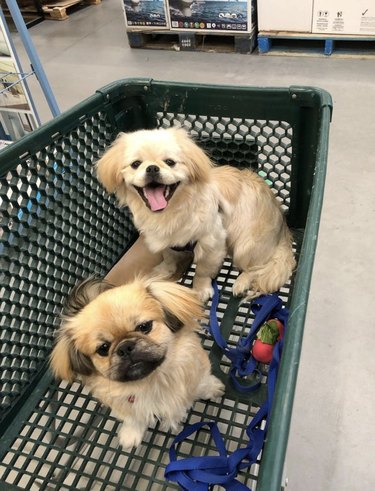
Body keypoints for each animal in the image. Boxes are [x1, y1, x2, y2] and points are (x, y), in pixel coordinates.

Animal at [51, 276, 225, 450]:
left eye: (144, 326)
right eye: (103, 348)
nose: (125, 347)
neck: (152, 381)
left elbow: (202, 383)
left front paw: (212, 388)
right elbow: (134, 418)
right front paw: (130, 434)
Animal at [97, 129, 296, 302]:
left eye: (170, 162)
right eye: (136, 164)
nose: (152, 168)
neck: (170, 213)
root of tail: (283, 232)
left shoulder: (212, 244)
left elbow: (202, 271)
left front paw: (200, 289)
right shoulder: (167, 241)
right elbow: (168, 257)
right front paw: (164, 270)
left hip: (245, 246)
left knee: (255, 268)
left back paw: (241, 282)